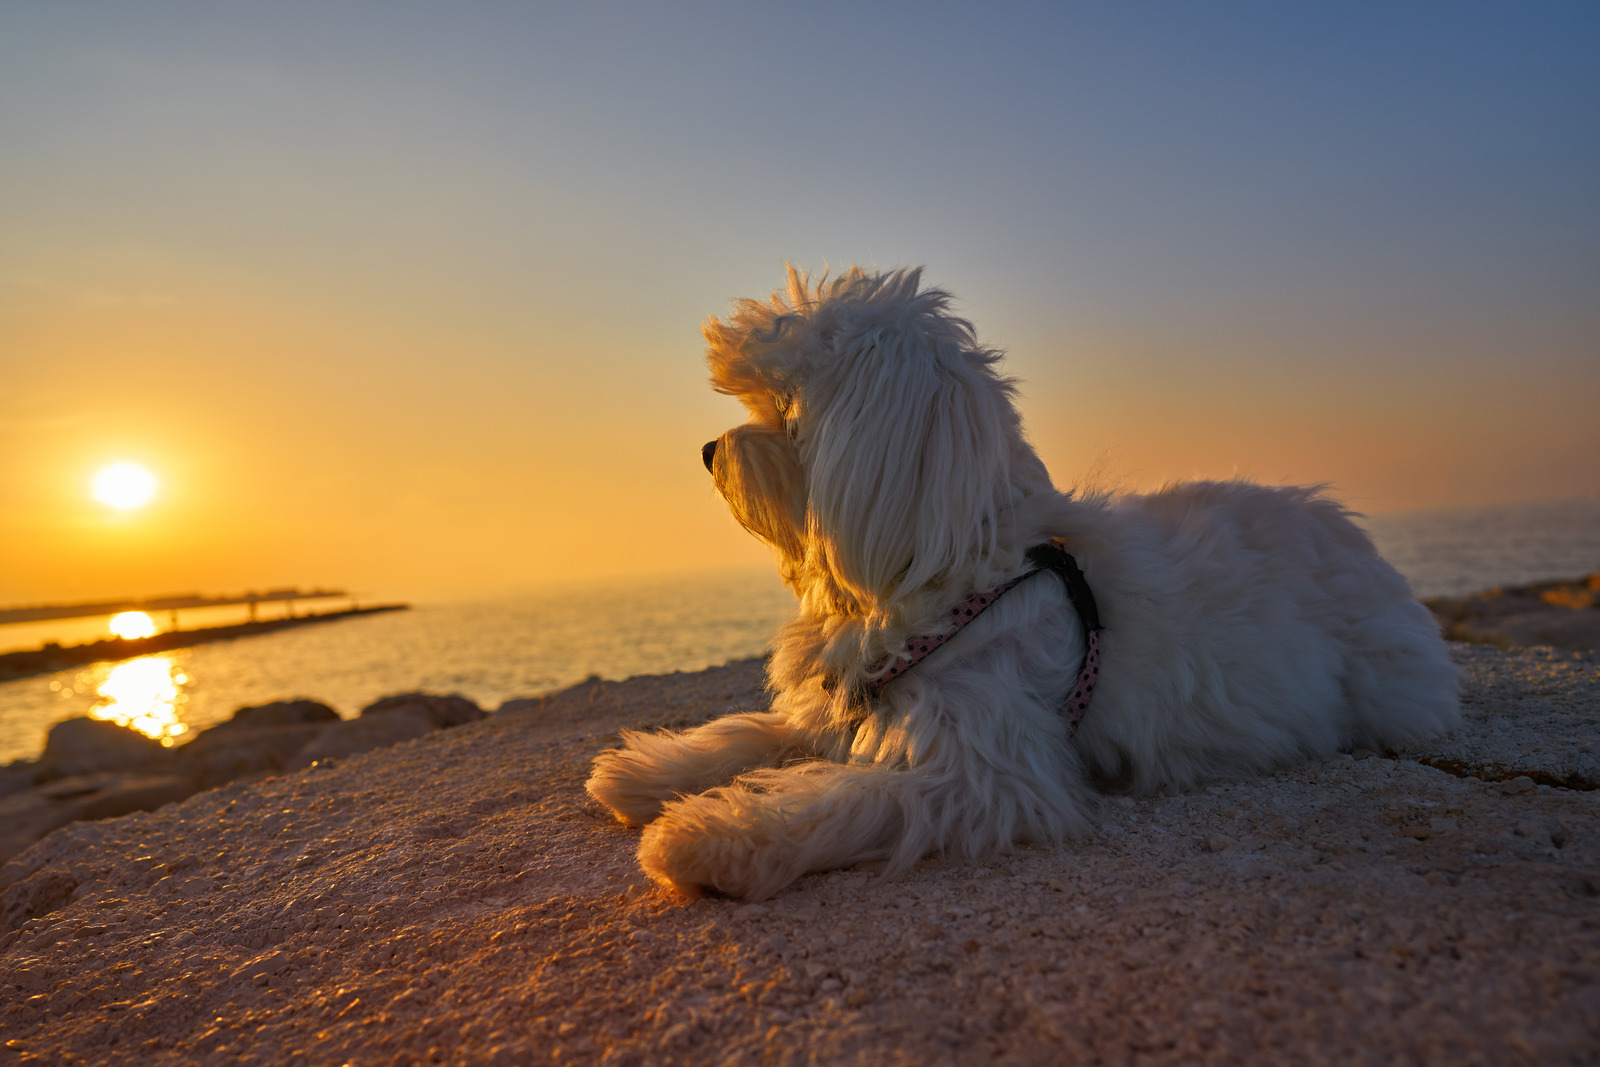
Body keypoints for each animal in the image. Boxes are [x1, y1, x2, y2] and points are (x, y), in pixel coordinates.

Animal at [592, 267, 1465, 902]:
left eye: (786, 406)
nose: (708, 450)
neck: (955, 572)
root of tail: (1350, 529)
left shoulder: (983, 772)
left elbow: (836, 798)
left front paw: (707, 838)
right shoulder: (853, 699)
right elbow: (756, 730)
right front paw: (650, 772)